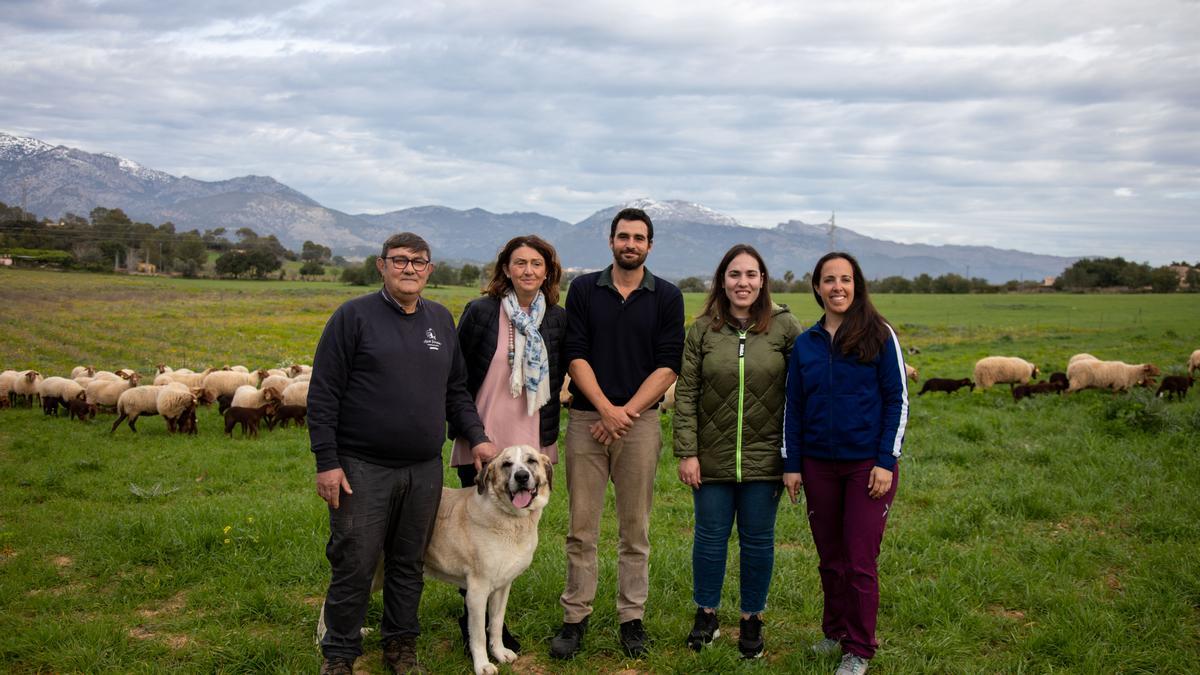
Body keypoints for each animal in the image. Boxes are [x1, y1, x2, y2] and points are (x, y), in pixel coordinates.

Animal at [314, 444, 549, 672]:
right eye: (506, 464)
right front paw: (482, 665)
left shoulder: (502, 587)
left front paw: (499, 653)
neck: (510, 520)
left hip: (379, 573)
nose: (521, 476)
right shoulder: (477, 591)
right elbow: (479, 634)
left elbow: (496, 624)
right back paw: (321, 641)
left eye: (531, 461)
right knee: (331, 599)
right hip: (366, 565)